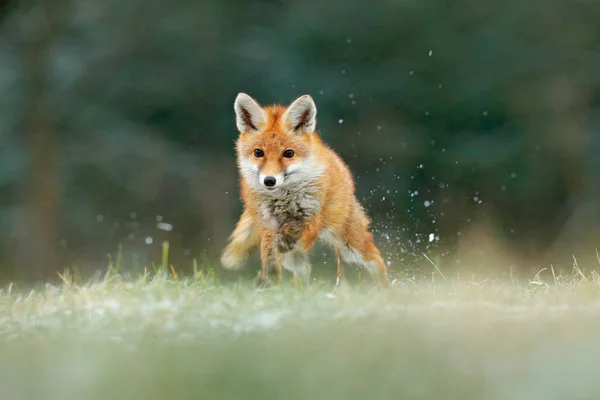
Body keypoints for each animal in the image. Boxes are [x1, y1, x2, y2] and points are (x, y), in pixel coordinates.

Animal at [220, 93, 390, 288]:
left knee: (375, 259)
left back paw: (386, 290)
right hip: (297, 257)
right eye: (258, 153)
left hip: (349, 244)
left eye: (288, 153)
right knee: (302, 272)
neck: (283, 200)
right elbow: (270, 262)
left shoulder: (311, 216)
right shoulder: (268, 226)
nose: (269, 181)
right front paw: (267, 286)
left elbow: (297, 229)